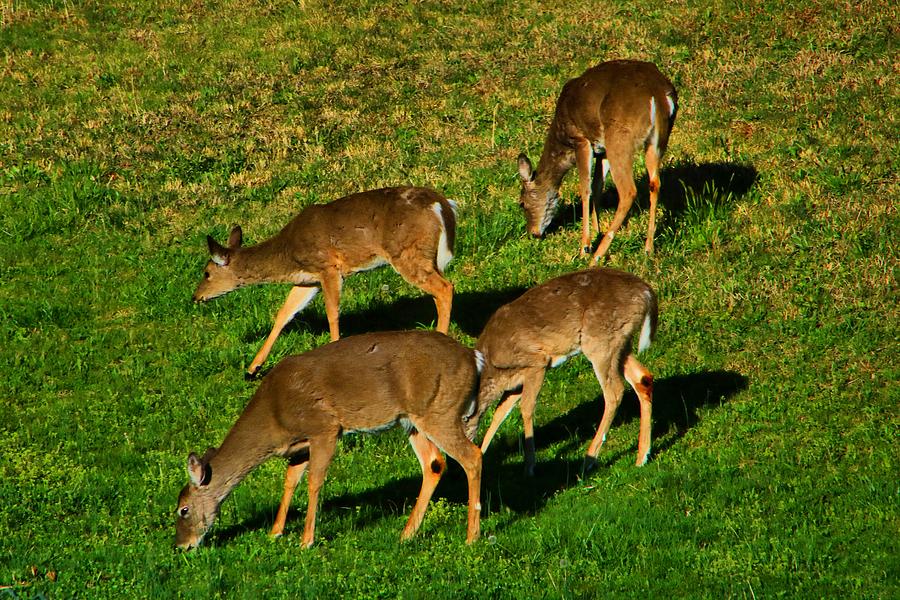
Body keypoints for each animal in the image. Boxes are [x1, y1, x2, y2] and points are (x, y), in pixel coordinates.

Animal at [176, 330, 486, 552]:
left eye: (183, 509)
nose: (181, 546)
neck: (274, 416)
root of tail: (474, 358)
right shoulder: (299, 446)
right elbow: (290, 481)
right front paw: (275, 532)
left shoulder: (324, 428)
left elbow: (314, 482)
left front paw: (306, 540)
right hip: (412, 420)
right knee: (434, 463)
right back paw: (406, 534)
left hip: (439, 411)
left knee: (472, 456)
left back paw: (471, 536)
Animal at [191, 185, 458, 378]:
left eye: (206, 273)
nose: (195, 297)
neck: (288, 254)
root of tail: (441, 204)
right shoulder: (308, 280)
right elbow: (284, 313)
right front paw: (252, 368)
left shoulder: (328, 267)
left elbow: (332, 312)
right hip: (424, 256)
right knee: (439, 290)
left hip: (406, 252)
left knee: (445, 287)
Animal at [474, 270, 656, 476]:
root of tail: (647, 292)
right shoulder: (516, 382)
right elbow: (500, 412)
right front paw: (481, 454)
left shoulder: (536, 363)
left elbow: (526, 408)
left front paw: (530, 466)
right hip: (619, 343)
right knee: (643, 377)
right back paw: (642, 457)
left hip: (600, 343)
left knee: (615, 392)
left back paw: (588, 460)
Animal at [516, 60, 680, 262]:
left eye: (522, 203)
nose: (533, 233)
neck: (562, 141)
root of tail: (658, 94)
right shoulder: (602, 150)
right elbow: (597, 186)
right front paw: (596, 230)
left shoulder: (581, 139)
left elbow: (585, 190)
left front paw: (584, 247)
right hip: (656, 141)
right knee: (655, 183)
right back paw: (648, 248)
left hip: (619, 137)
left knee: (628, 190)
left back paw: (598, 254)